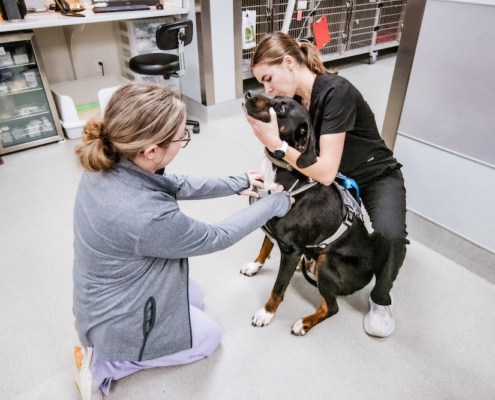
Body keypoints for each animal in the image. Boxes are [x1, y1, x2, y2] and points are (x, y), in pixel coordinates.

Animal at [242, 92, 374, 336]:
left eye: (281, 108)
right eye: (275, 96)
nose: (247, 93)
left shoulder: (292, 250)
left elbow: (278, 287)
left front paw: (266, 313)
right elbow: (265, 247)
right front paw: (255, 266)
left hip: (326, 262)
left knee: (331, 307)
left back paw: (304, 323)